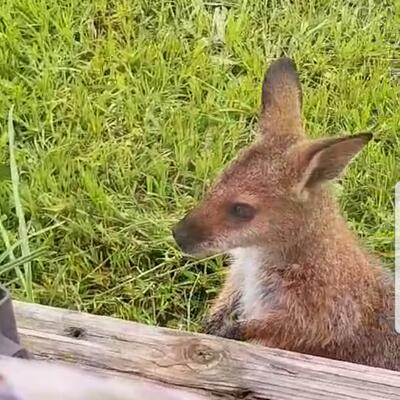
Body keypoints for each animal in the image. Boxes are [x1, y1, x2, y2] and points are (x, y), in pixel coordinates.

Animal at [172, 57, 400, 371]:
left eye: (242, 210)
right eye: (217, 182)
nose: (178, 236)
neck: (261, 252)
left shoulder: (324, 311)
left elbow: (293, 329)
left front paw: (234, 330)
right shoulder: (240, 272)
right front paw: (211, 324)